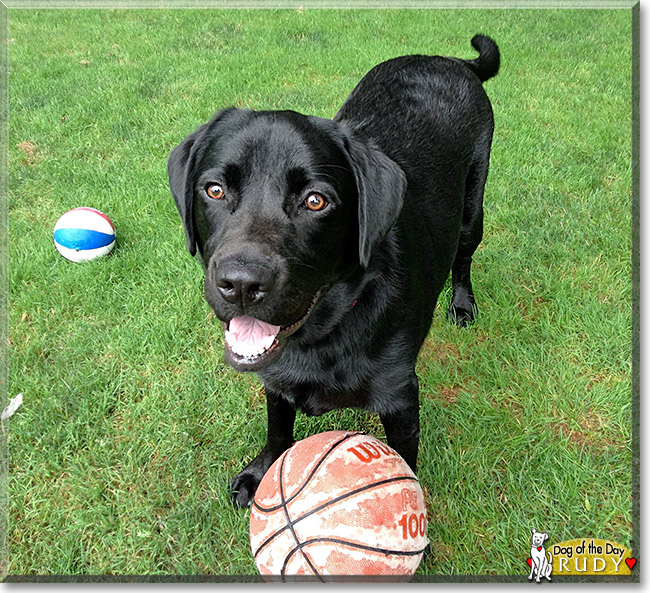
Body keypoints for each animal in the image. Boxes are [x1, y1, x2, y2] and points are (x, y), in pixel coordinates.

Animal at [167, 34, 496, 506]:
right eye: (214, 190)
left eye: (315, 201)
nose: (241, 284)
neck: (320, 335)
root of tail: (448, 59)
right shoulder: (275, 377)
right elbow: (278, 423)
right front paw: (262, 473)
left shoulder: (401, 399)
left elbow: (405, 466)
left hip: (472, 211)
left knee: (463, 258)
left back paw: (463, 305)